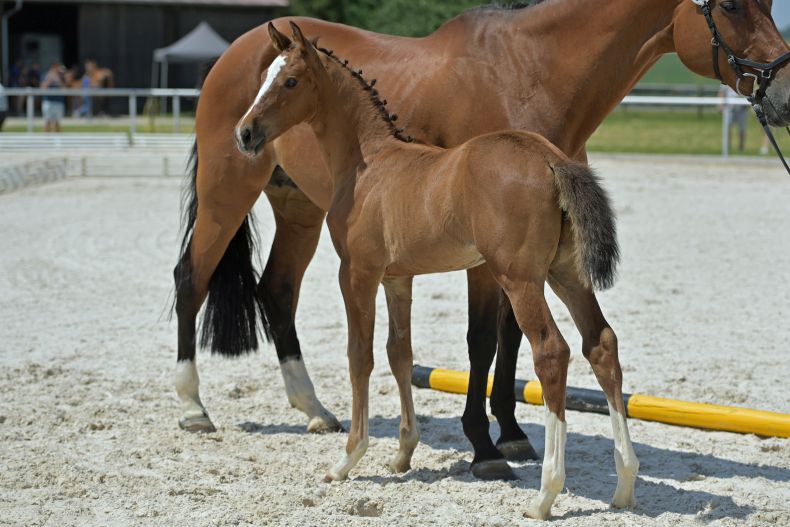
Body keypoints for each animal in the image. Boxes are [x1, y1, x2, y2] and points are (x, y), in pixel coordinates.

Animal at [235, 23, 636, 520]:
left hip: (520, 278)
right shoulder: (396, 278)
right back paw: (625, 485)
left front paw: (347, 459)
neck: (370, 163)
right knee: (601, 343)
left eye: (289, 81)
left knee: (551, 352)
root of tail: (550, 159)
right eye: (263, 79)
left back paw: (545, 494)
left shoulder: (358, 273)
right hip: (566, 273)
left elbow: (359, 356)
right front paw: (402, 453)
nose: (245, 132)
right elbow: (400, 354)